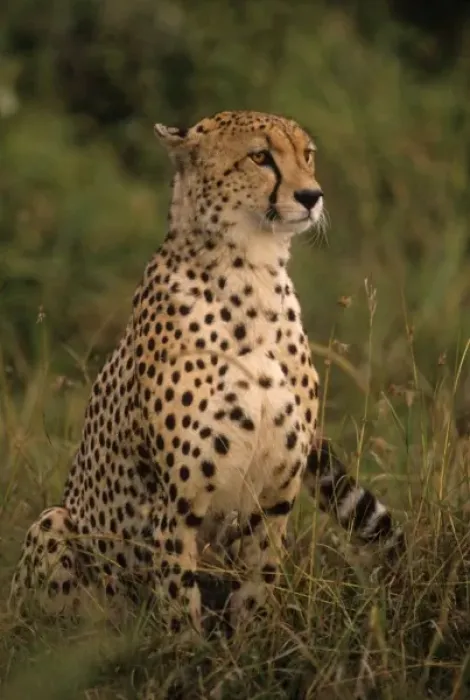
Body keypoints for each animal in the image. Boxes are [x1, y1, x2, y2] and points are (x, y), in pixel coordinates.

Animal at [9, 110, 404, 634]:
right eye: (260, 157)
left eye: (307, 155)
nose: (311, 195)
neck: (253, 274)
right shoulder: (178, 503)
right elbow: (179, 601)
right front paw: (187, 650)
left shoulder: (273, 498)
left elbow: (258, 585)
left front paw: (249, 647)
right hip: (54, 524)